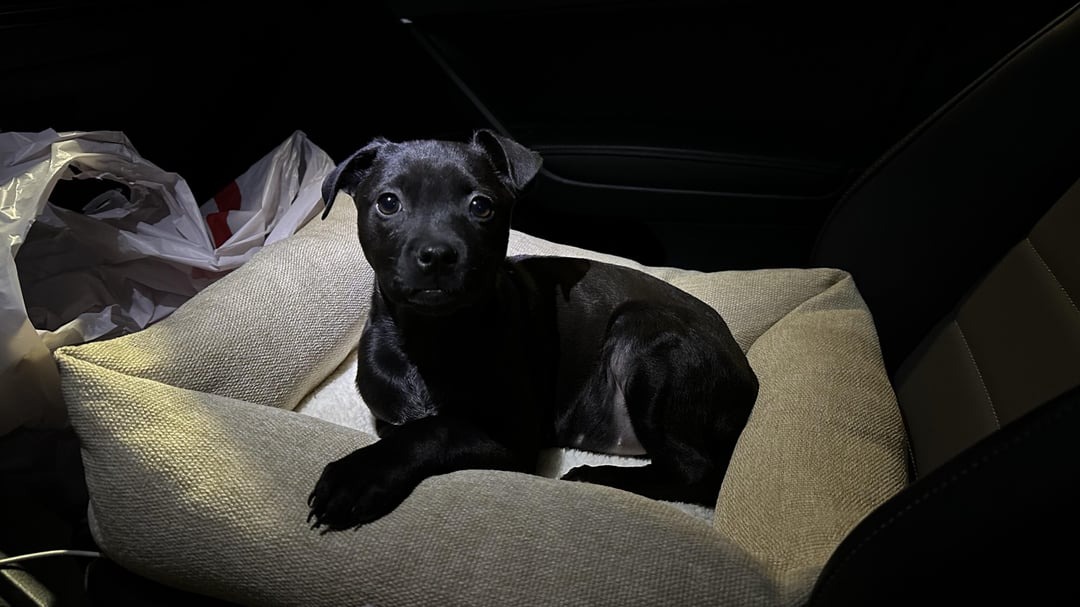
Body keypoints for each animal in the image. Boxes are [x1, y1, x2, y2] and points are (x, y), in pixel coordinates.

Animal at [304, 128, 760, 529]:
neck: (432, 336)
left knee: (694, 470)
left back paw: (599, 476)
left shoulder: (512, 435)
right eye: (387, 202)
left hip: (646, 338)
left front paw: (357, 476)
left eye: (481, 206)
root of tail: (748, 373)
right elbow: (410, 428)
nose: (437, 255)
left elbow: (434, 429)